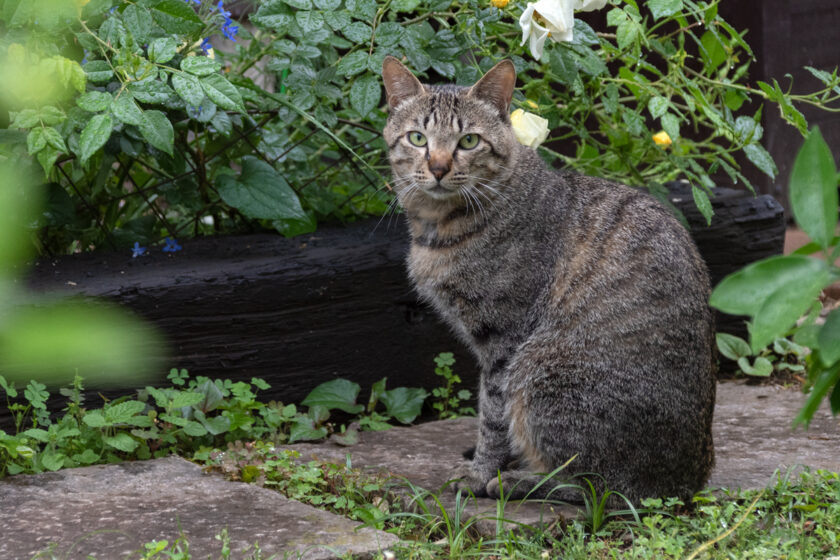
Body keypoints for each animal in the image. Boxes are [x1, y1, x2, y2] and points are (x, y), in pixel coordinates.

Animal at [380, 57, 716, 504]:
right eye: (417, 138)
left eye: (468, 141)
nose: (437, 167)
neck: (438, 226)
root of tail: (687, 482)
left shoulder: (504, 341)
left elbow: (492, 417)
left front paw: (479, 474)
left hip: (541, 372)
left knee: (598, 487)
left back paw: (521, 480)